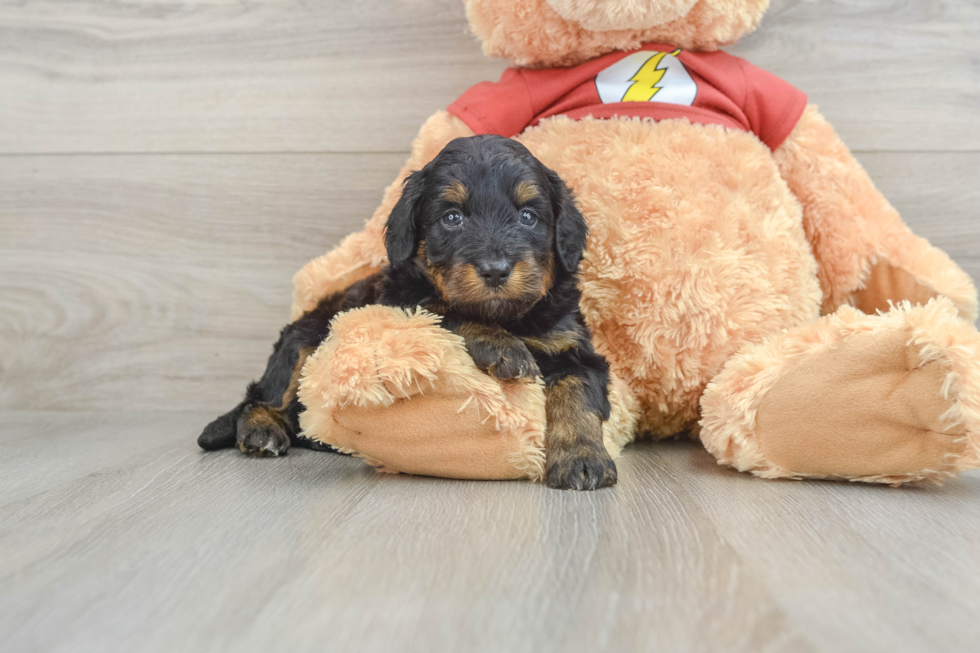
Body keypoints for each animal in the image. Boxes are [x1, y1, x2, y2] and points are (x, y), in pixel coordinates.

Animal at [195, 134, 616, 488]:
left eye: (528, 216)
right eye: (452, 218)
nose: (495, 270)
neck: (508, 316)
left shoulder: (573, 347)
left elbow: (578, 395)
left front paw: (582, 458)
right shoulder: (403, 304)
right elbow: (449, 311)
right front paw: (502, 346)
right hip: (303, 338)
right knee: (265, 395)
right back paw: (262, 430)